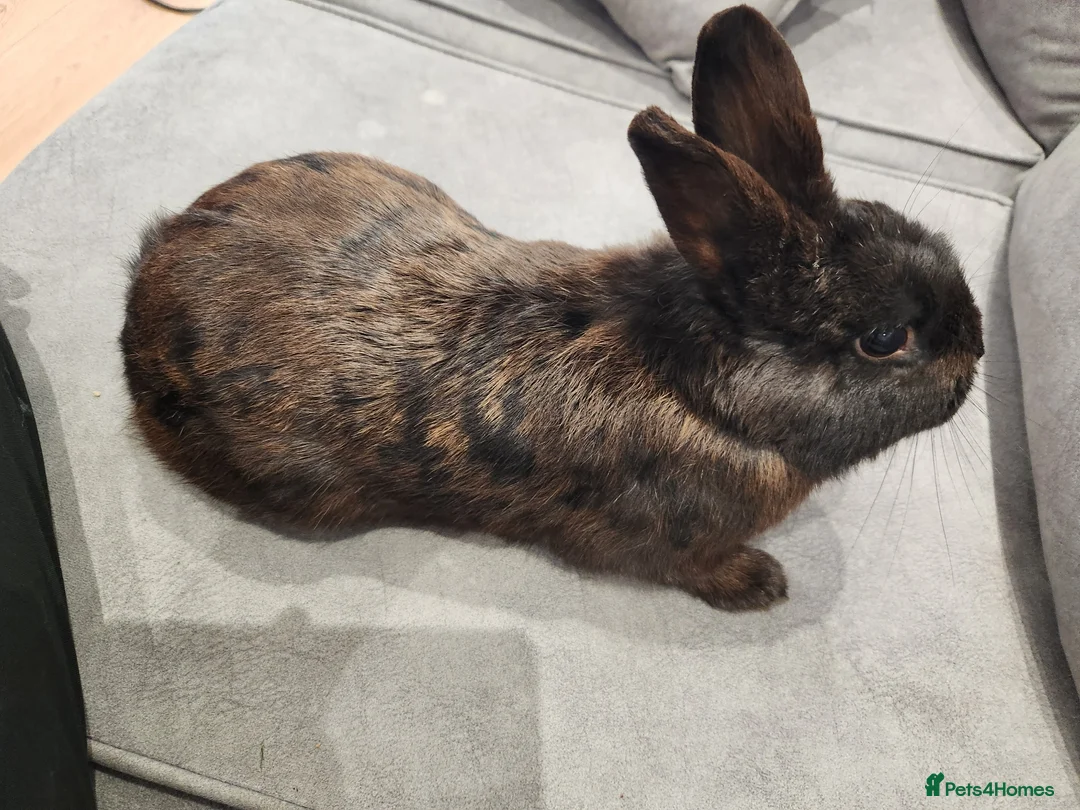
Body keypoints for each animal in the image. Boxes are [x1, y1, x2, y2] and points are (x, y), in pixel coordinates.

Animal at [120, 6, 983, 610]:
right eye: (884, 338)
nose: (975, 354)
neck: (706, 395)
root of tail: (147, 278)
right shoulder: (675, 544)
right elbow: (696, 567)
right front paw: (762, 585)